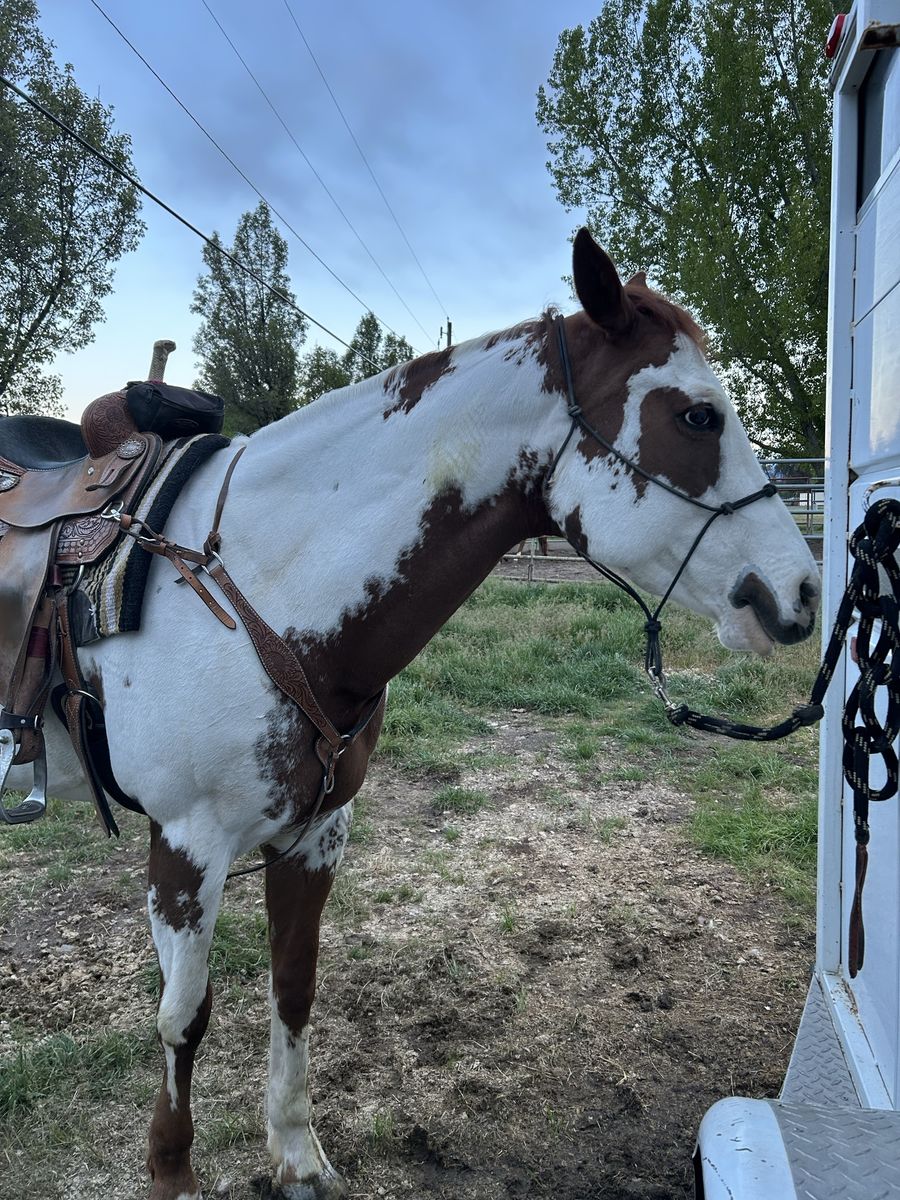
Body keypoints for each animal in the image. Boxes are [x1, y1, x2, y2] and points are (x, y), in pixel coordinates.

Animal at [7, 229, 819, 1199]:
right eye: (698, 417)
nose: (802, 593)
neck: (257, 582)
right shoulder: (186, 846)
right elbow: (183, 1017)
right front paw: (171, 1169)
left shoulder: (316, 833)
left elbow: (292, 986)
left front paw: (294, 1154)